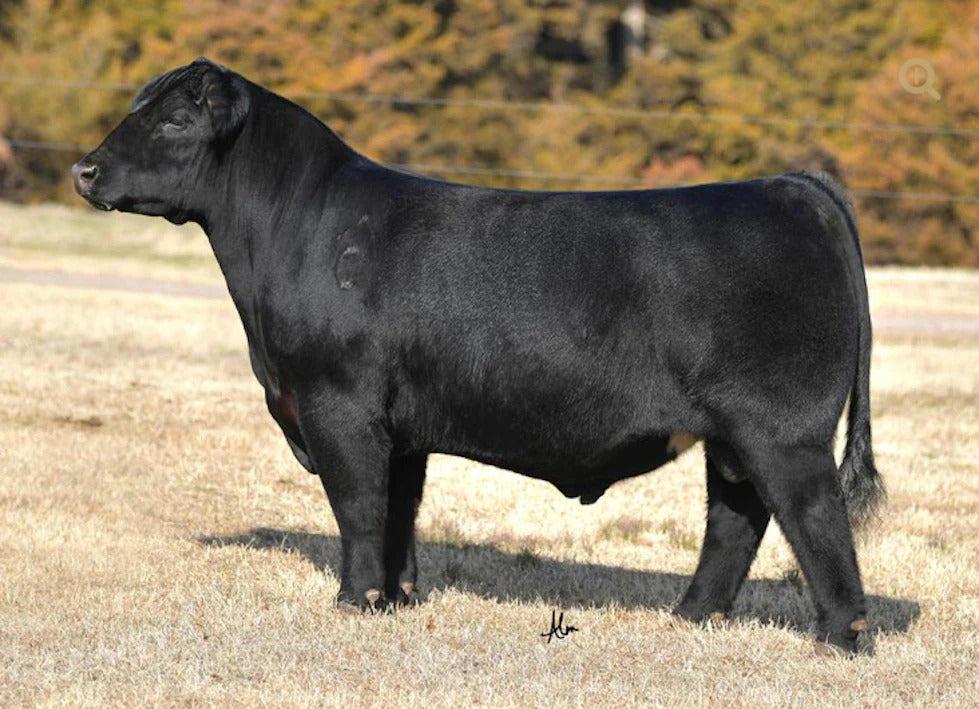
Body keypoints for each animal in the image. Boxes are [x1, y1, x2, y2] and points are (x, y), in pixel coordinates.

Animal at [72, 58, 884, 654]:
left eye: (176, 120)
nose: (84, 171)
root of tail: (788, 186)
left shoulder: (339, 404)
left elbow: (357, 505)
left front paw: (352, 601)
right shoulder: (399, 426)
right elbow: (398, 510)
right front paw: (393, 598)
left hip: (781, 430)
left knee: (812, 516)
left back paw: (837, 638)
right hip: (733, 435)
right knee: (735, 519)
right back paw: (689, 618)